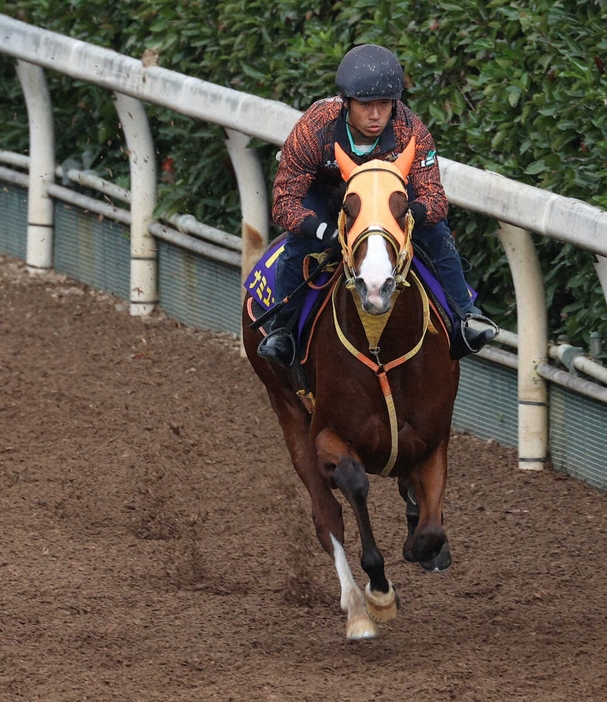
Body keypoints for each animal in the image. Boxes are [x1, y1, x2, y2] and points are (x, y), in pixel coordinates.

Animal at [242, 139, 460, 644]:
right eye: (348, 206)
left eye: (403, 207)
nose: (376, 285)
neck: (381, 348)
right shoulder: (328, 435)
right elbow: (354, 484)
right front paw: (379, 592)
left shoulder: (434, 438)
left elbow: (429, 534)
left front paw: (422, 541)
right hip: (285, 407)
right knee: (327, 517)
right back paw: (358, 611)